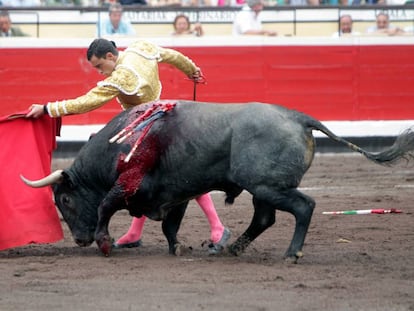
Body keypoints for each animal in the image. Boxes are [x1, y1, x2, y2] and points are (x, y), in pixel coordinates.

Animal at [21, 101, 414, 262]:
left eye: (65, 200)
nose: (80, 239)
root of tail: (299, 118)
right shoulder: (174, 193)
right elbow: (170, 225)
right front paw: (178, 247)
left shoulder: (129, 184)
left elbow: (105, 204)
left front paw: (105, 243)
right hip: (262, 190)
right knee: (264, 218)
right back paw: (232, 248)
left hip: (267, 185)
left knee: (305, 206)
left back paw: (291, 253)